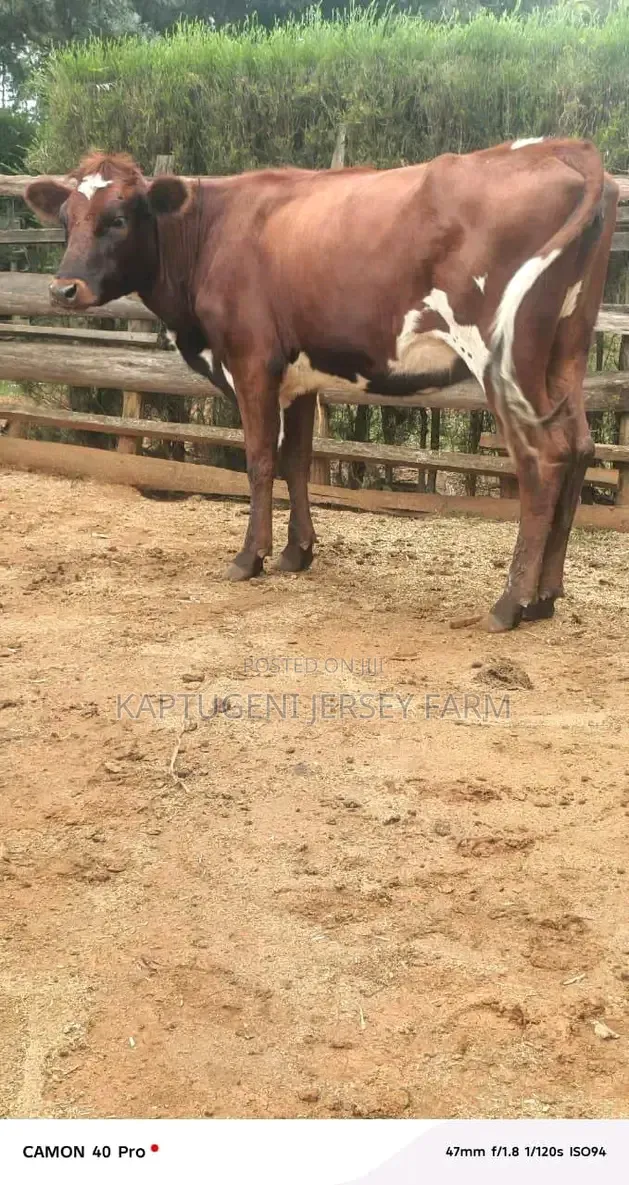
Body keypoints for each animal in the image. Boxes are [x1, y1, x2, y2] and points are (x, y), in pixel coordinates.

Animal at [24, 139, 618, 632]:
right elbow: (297, 458)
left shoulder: (251, 361)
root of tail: (560, 147)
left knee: (544, 459)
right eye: (66, 219)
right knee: (579, 448)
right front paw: (298, 553)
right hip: (565, 355)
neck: (210, 232)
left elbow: (260, 459)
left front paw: (250, 558)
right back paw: (544, 599)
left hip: (505, 358)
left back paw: (509, 604)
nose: (63, 289)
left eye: (119, 218)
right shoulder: (300, 376)